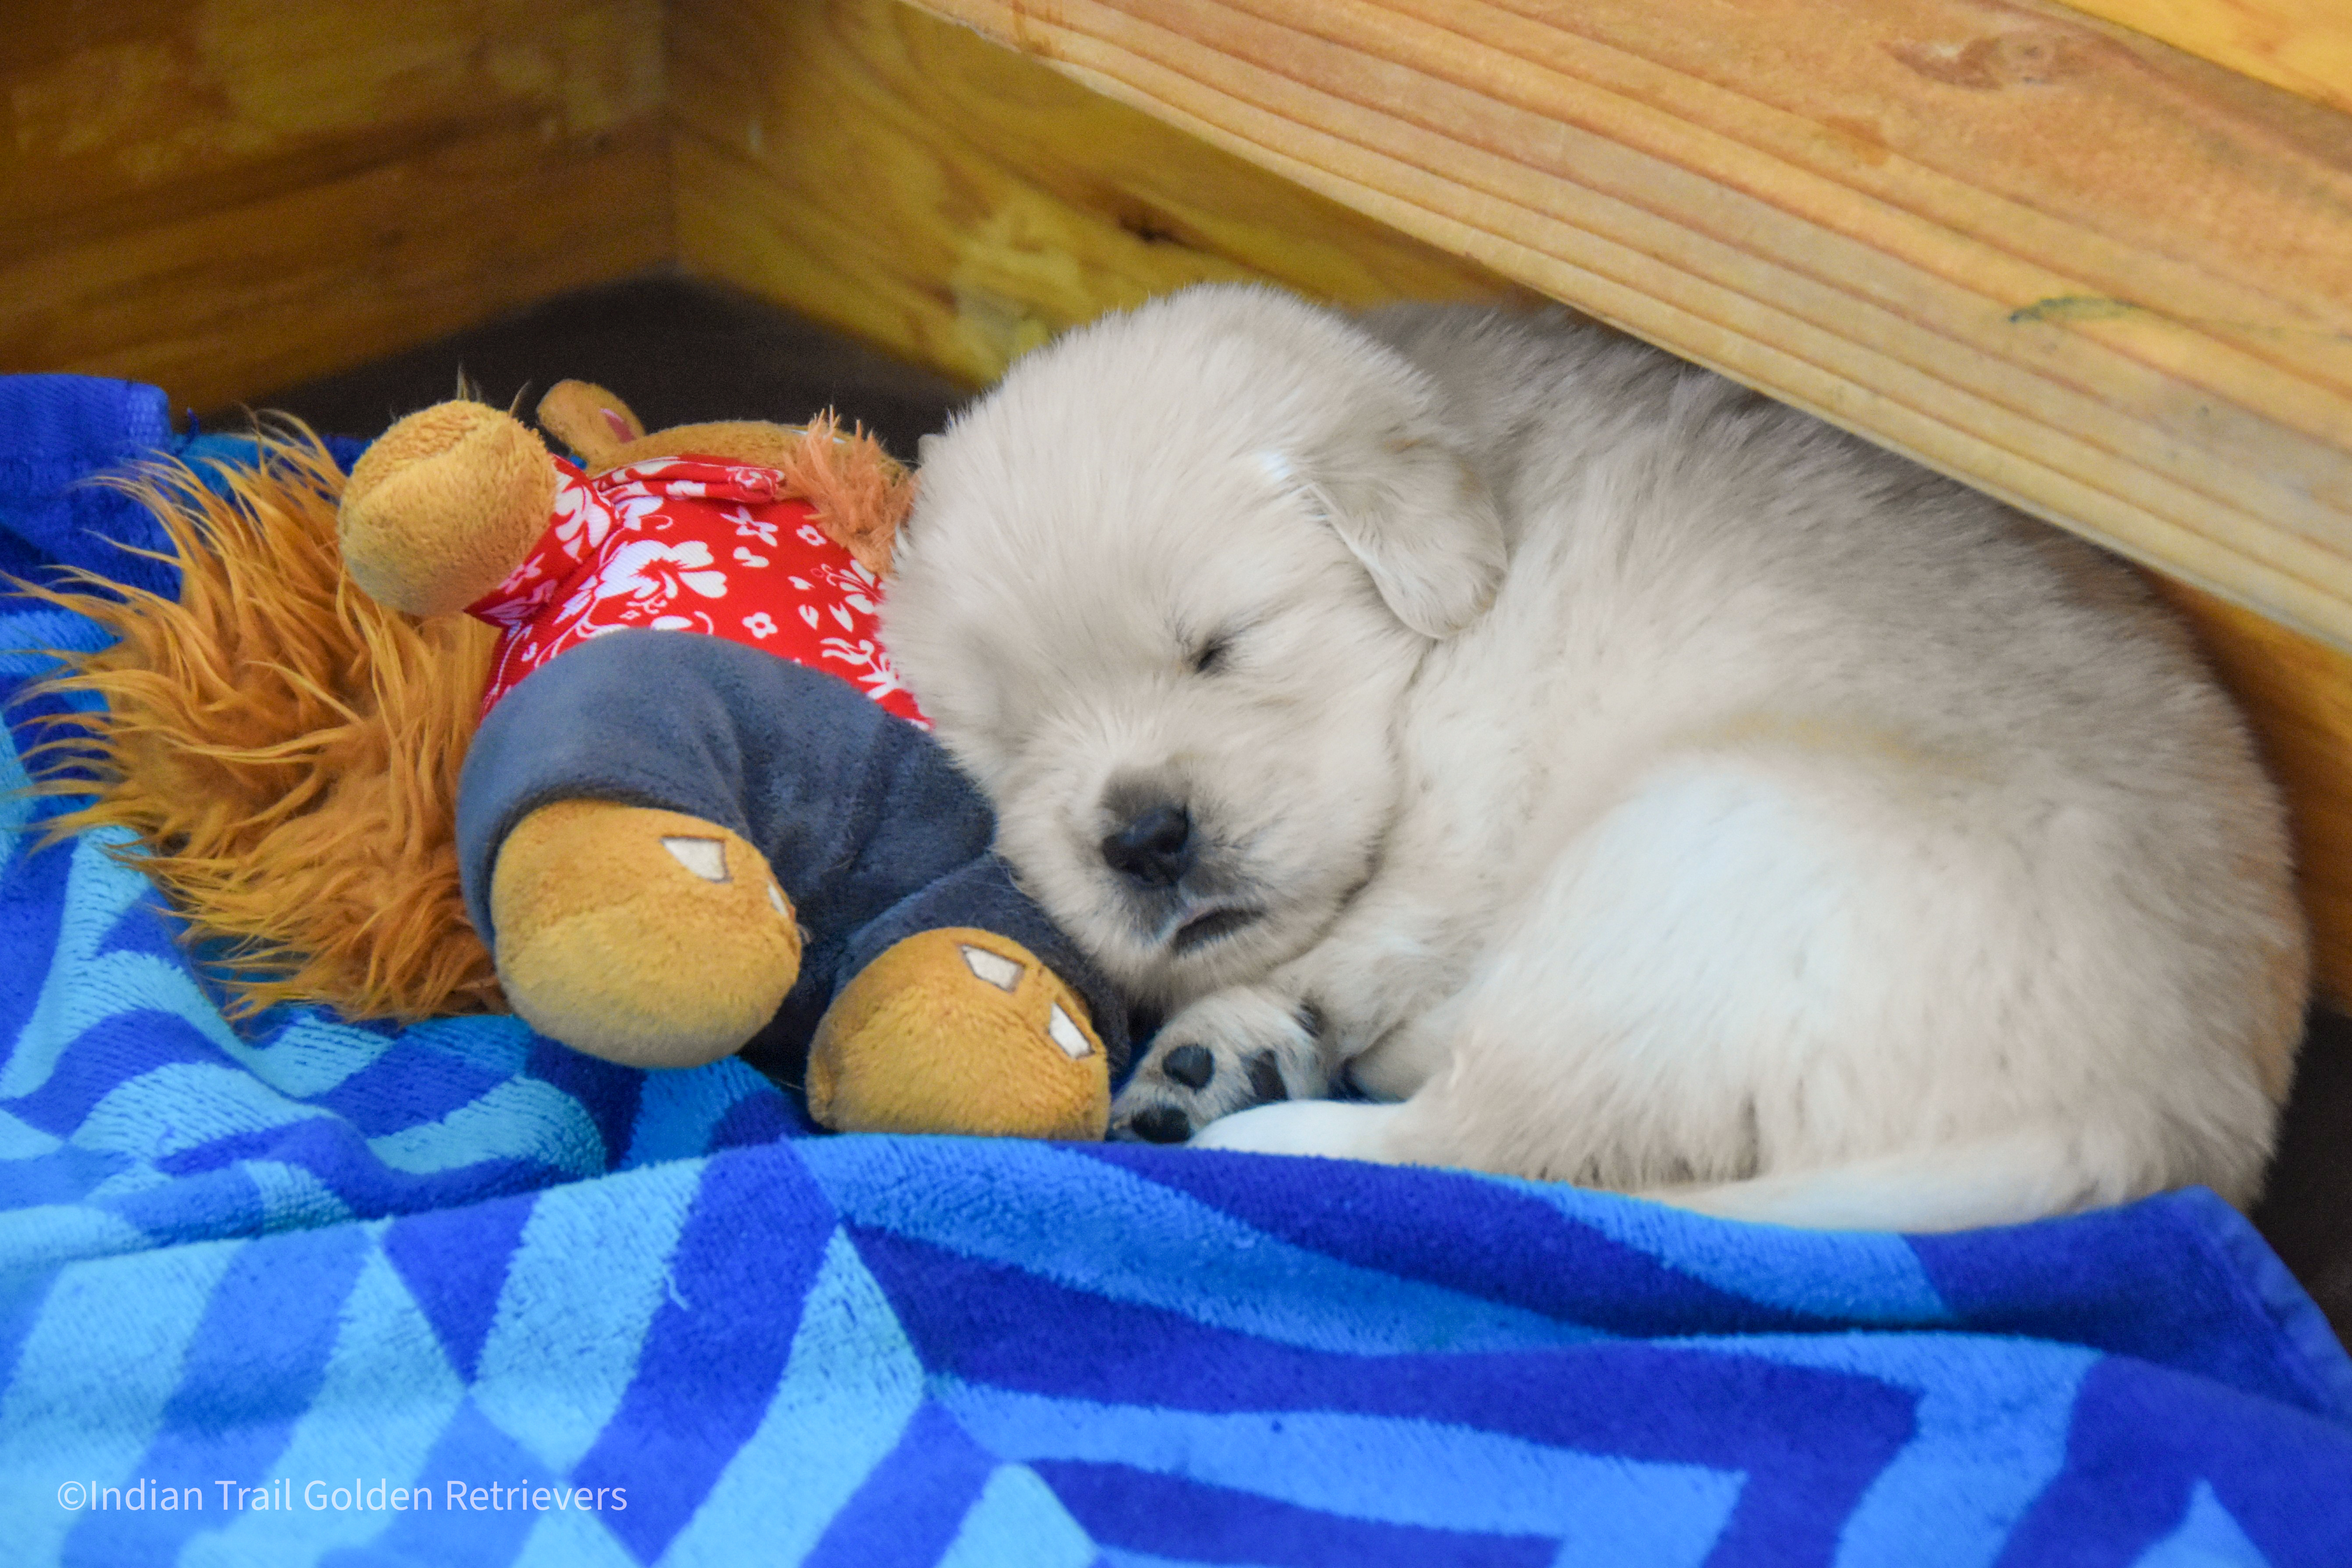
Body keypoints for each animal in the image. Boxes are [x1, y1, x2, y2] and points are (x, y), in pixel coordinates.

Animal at [879, 285, 2295, 1241]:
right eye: (1011, 742)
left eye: (1218, 648)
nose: (1139, 836)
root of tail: (2148, 1127)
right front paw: (1241, 1024)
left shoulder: (1484, 780)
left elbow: (1380, 924)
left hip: (1686, 849)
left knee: (1488, 1142)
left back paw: (1259, 1118)